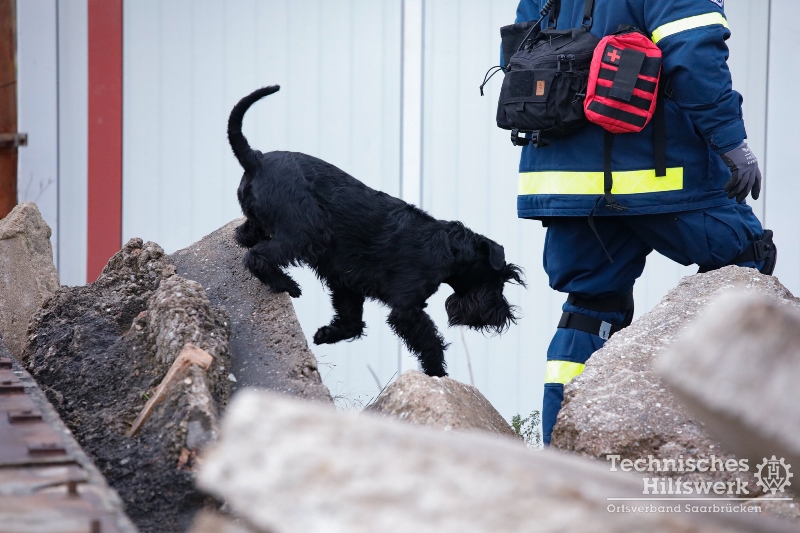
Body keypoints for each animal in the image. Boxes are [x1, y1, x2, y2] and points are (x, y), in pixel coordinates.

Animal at [229, 86, 524, 377]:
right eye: (501, 279)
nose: (504, 315)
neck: (448, 250)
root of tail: (256, 160)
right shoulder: (406, 308)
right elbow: (429, 341)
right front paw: (437, 373)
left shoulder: (345, 281)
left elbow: (351, 320)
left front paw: (327, 334)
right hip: (306, 236)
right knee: (256, 256)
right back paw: (287, 284)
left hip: (266, 224)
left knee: (244, 237)